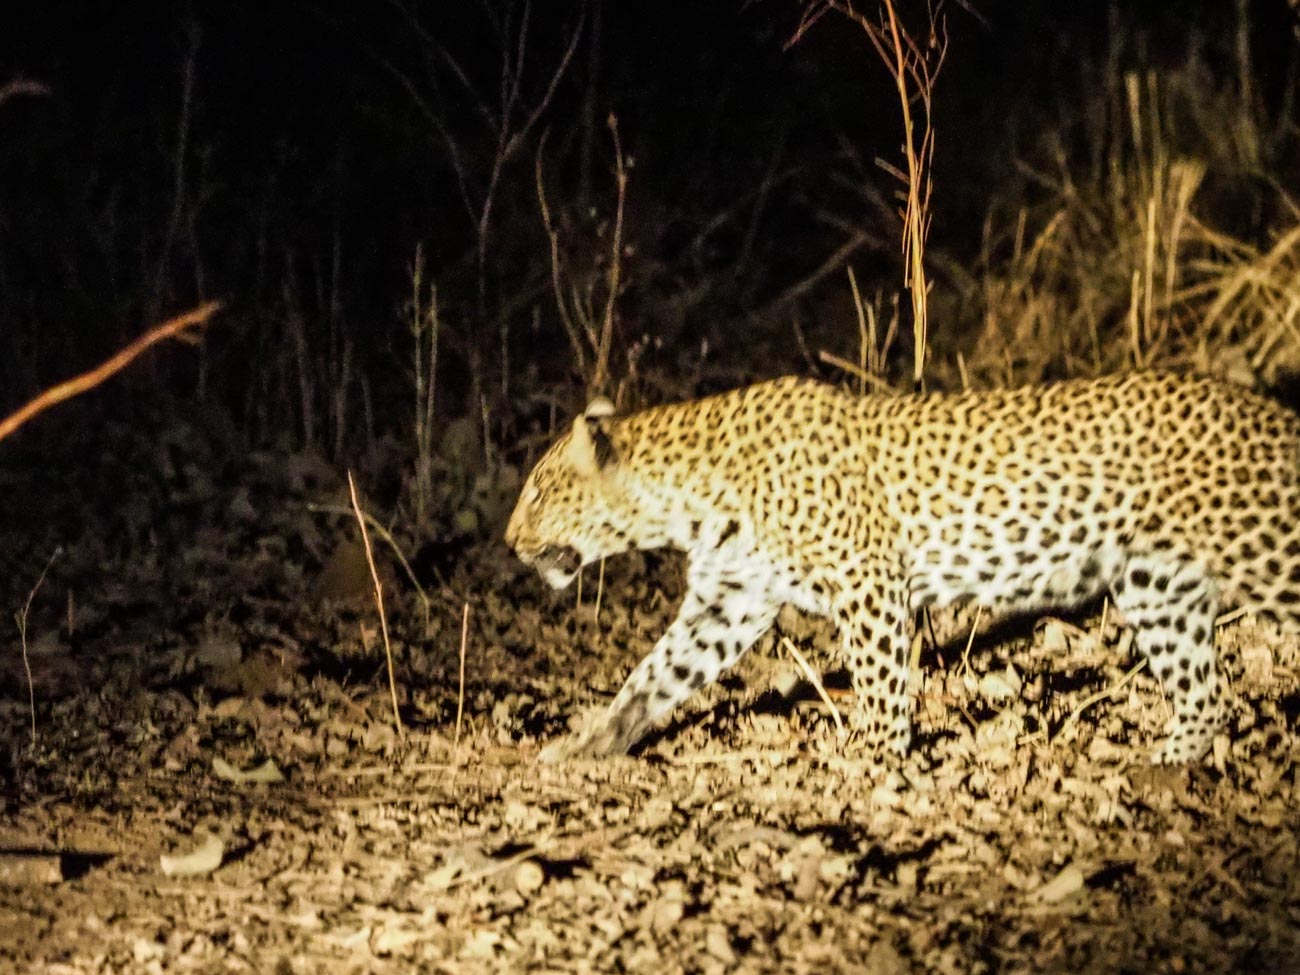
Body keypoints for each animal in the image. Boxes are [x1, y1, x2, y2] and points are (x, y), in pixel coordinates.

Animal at [505, 372, 1300, 765]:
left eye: (539, 490)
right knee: (1204, 687)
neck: (689, 502)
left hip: (1264, 545)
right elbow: (654, 674)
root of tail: (1265, 408)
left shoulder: (867, 578)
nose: (509, 540)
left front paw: (871, 753)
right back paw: (1168, 758)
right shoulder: (729, 599)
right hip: (1156, 582)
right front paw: (591, 743)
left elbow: (881, 676)